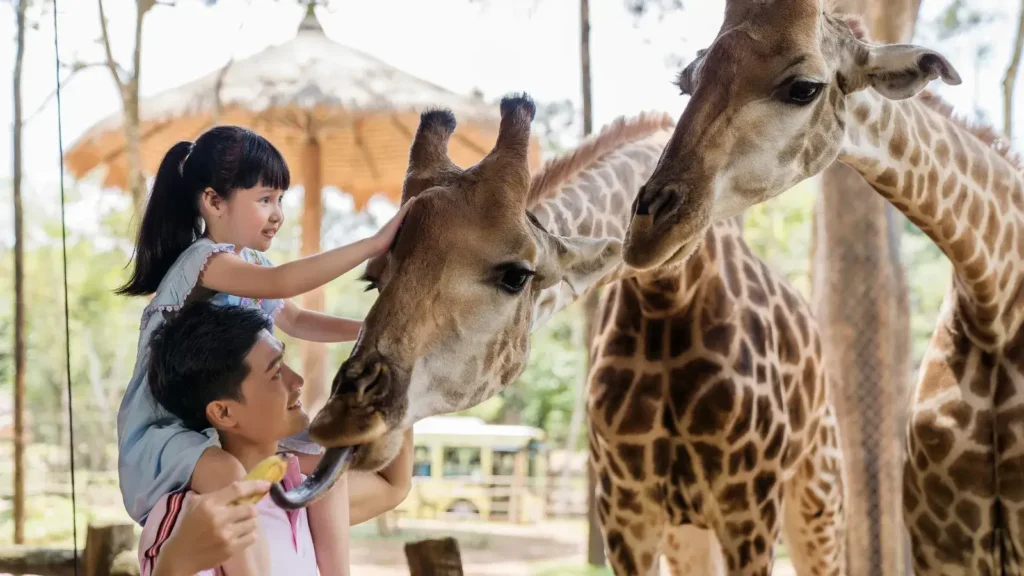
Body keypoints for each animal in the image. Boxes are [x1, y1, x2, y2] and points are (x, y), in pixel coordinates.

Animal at [299, 94, 847, 575]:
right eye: (373, 279)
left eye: (516, 275)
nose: (342, 416)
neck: (673, 291)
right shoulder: (626, 511)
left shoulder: (748, 509)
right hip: (688, 531)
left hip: (816, 500)